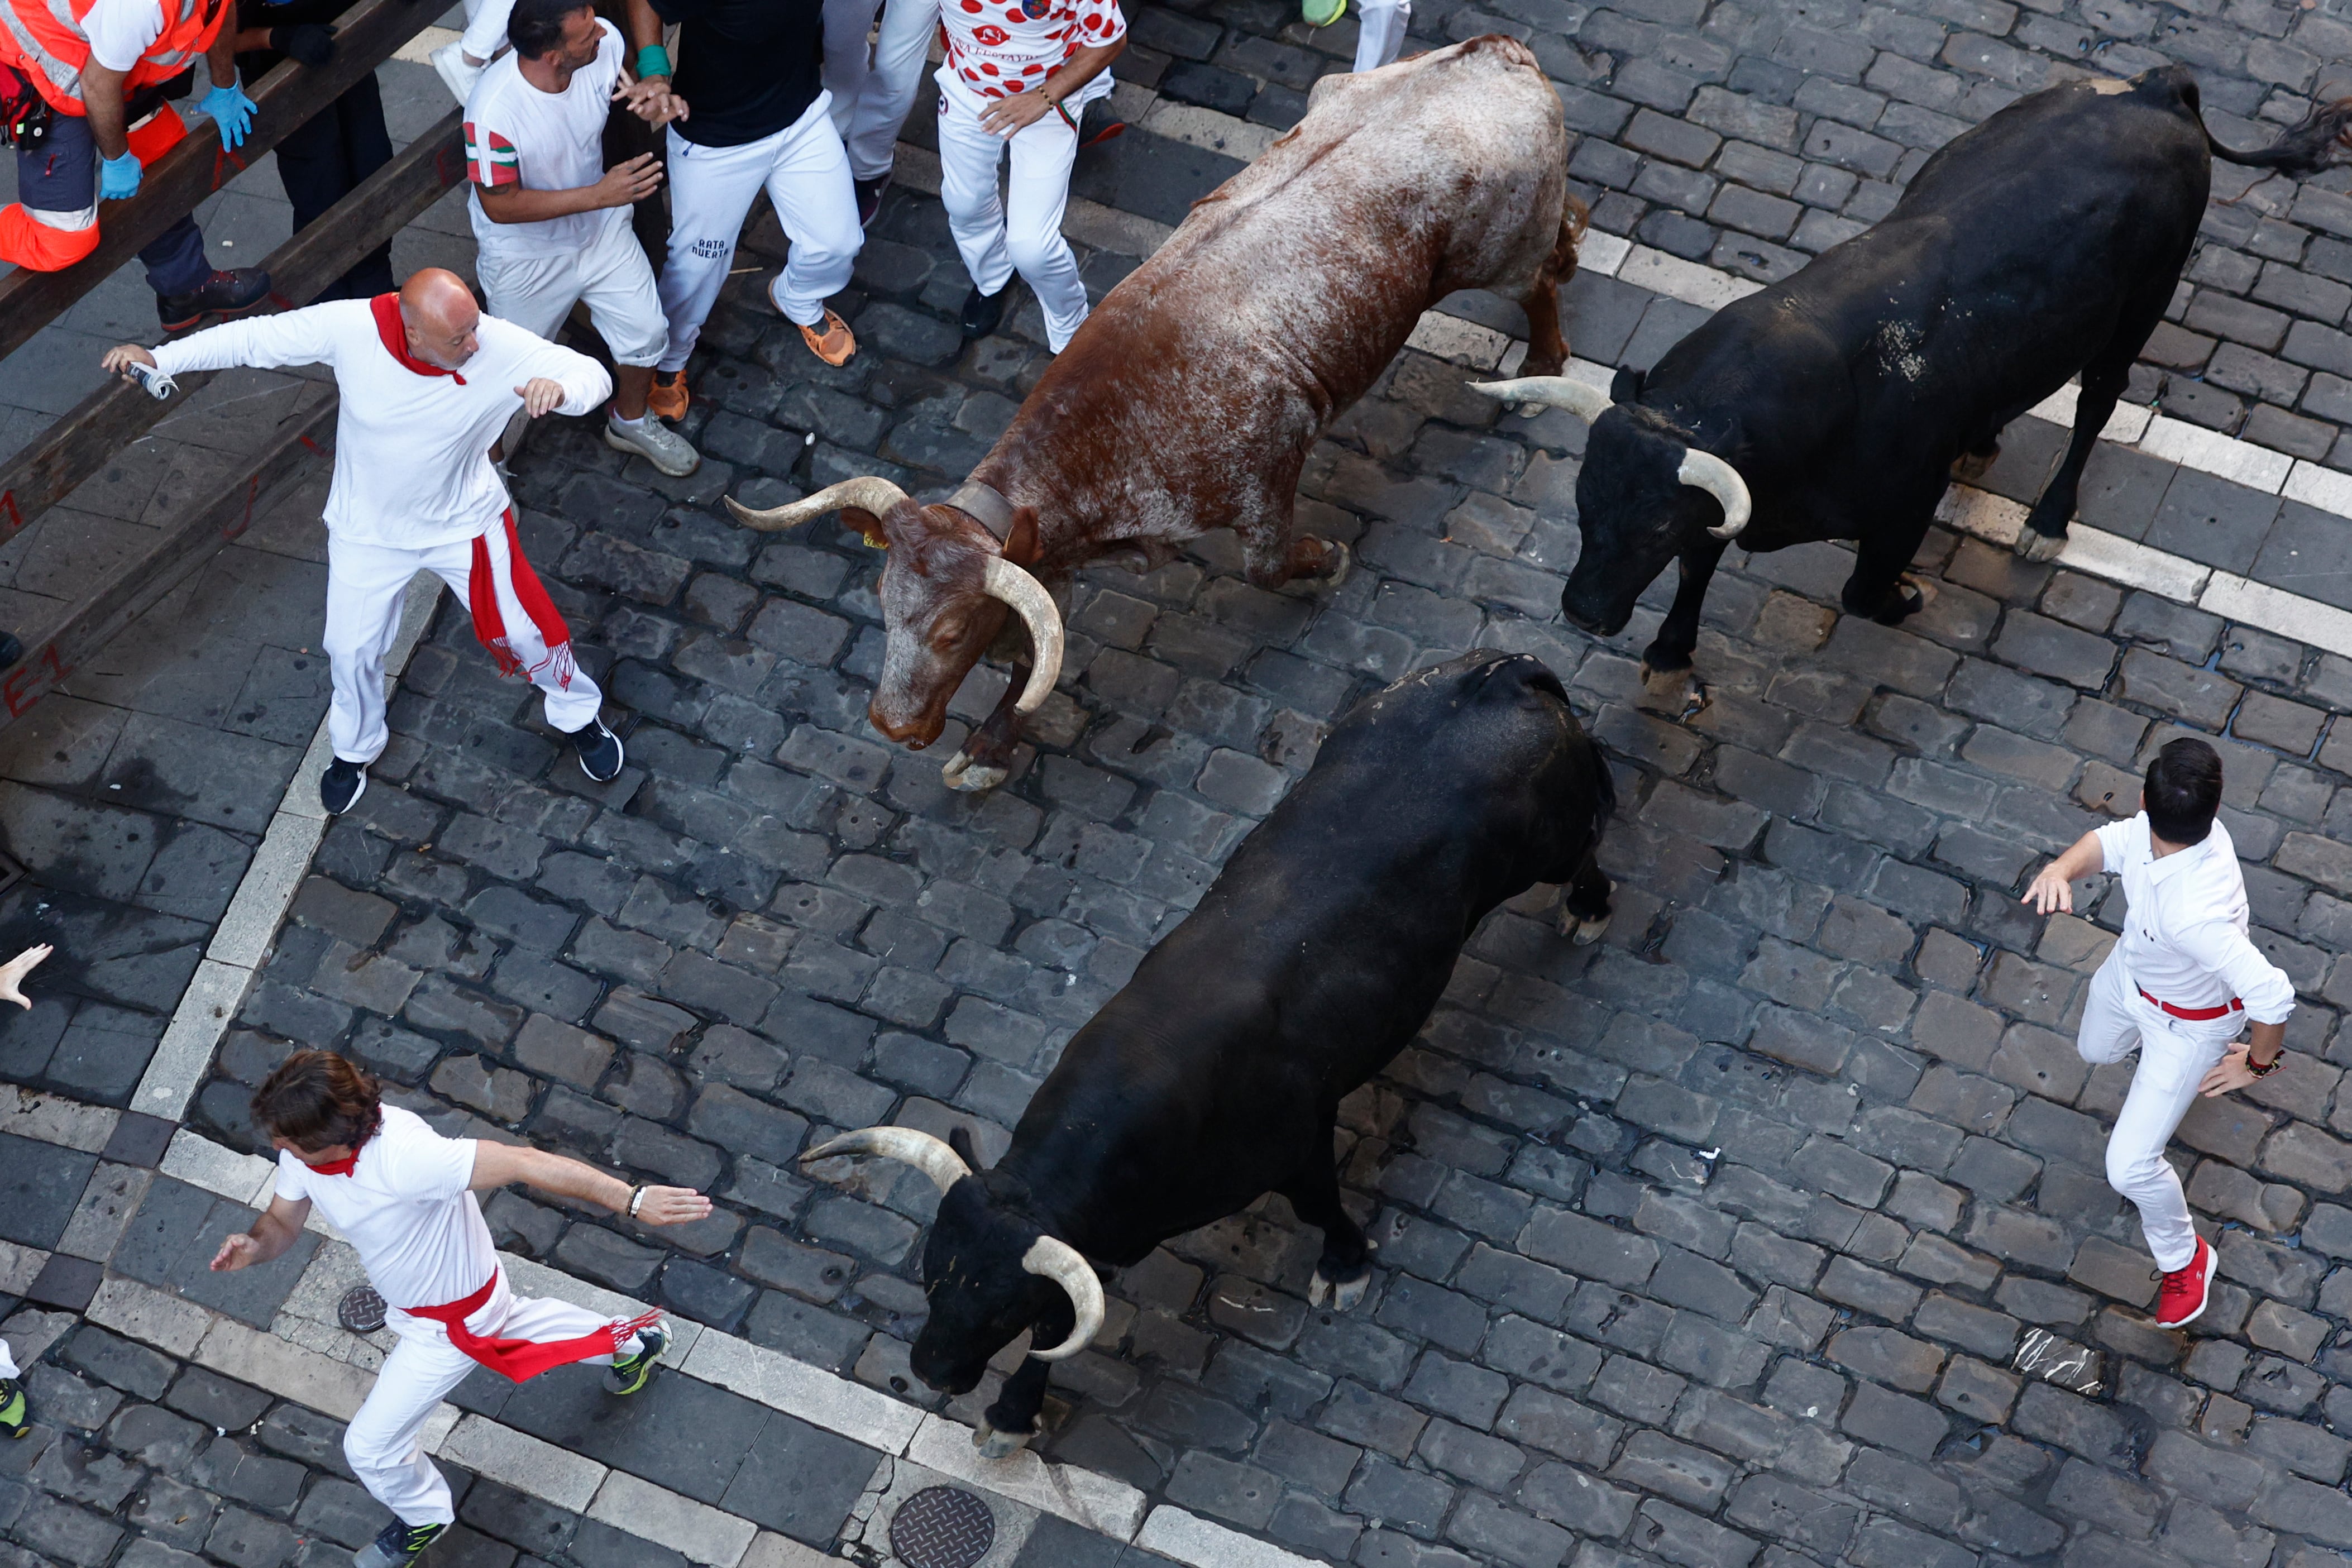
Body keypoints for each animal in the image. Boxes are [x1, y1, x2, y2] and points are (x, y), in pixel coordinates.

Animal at [729, 34, 1580, 799]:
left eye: (948, 632)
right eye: (883, 606)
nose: (892, 724)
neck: (1115, 432)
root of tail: (1493, 52)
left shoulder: (1268, 476)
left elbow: (1270, 565)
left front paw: (1328, 558)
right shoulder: (1048, 556)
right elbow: (1032, 661)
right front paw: (992, 747)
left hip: (1500, 253)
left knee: (1540, 283)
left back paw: (1541, 366)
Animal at [800, 648, 1609, 1448]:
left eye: (1002, 1308)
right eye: (933, 1271)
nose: (932, 1372)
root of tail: (1493, 673)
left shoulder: (1298, 1143)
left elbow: (1318, 1207)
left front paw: (1344, 1267)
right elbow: (1067, 1321)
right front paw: (1014, 1413)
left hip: (1552, 845)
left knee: (1590, 844)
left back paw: (1590, 909)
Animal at [1477, 68, 2352, 681]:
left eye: (1654, 525)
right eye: (1585, 499)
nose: (1584, 613)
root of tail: (2155, 89)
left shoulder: (1903, 509)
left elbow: (1862, 595)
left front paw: (1908, 599)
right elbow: (1699, 568)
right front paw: (1671, 649)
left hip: (2141, 307)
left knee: (2099, 403)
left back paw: (2047, 521)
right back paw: (1983, 441)